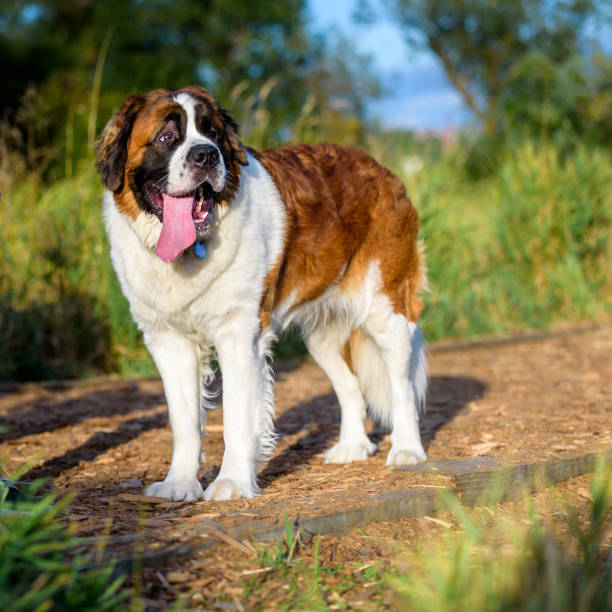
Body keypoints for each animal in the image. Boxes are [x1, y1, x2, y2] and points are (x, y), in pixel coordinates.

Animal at [97, 86, 430, 502]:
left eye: (213, 133)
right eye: (166, 136)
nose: (207, 155)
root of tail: (382, 170)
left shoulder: (239, 335)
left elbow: (237, 417)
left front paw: (232, 483)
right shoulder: (168, 342)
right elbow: (183, 420)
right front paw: (180, 483)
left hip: (387, 311)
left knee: (402, 384)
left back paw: (407, 449)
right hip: (322, 337)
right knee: (350, 386)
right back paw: (352, 446)